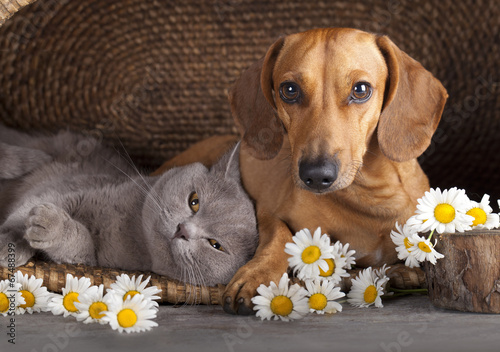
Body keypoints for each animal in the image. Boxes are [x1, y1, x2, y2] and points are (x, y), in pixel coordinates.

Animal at [0, 126, 258, 286]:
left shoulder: (91, 260)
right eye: (194, 201)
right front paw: (10, 243)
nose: (184, 229)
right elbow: (26, 210)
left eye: (216, 245)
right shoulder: (63, 189)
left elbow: (79, 244)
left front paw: (50, 226)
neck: (125, 229)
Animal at [158, 27, 448, 314]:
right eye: (289, 89)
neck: (366, 198)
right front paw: (256, 275)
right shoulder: (267, 212)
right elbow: (278, 237)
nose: (317, 175)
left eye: (361, 89)